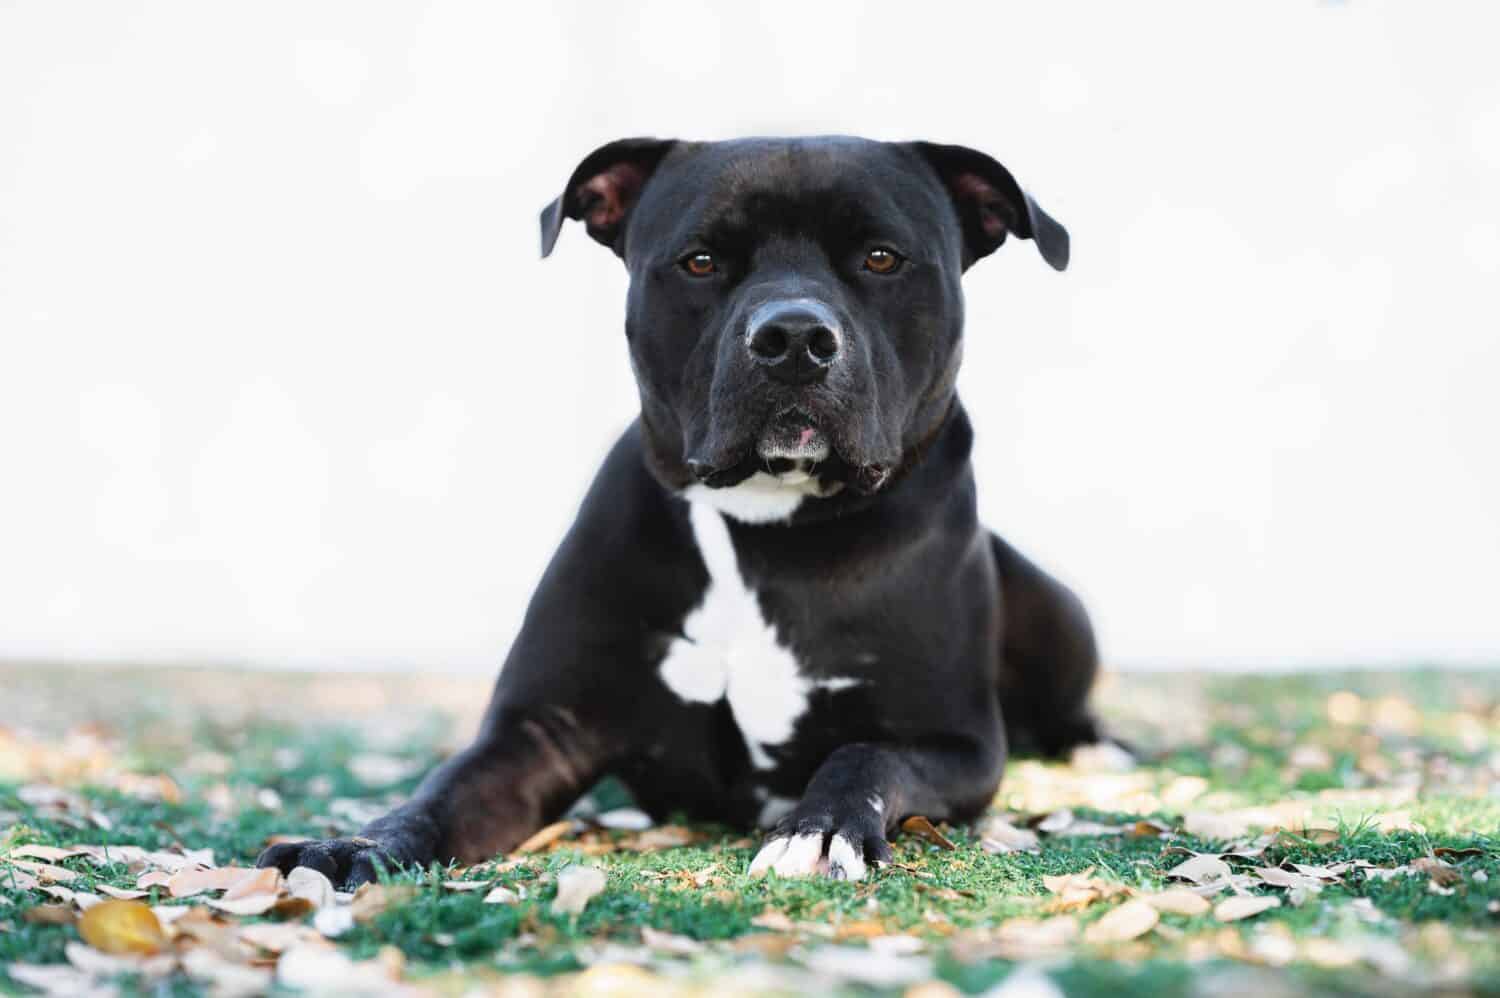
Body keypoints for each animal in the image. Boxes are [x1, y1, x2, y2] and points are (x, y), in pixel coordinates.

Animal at [258, 136, 1104, 882]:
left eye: (881, 258)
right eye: (700, 262)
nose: (794, 336)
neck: (766, 522)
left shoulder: (956, 743)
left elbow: (864, 754)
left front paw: (819, 832)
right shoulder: (540, 731)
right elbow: (439, 796)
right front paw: (351, 845)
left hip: (1060, 610)